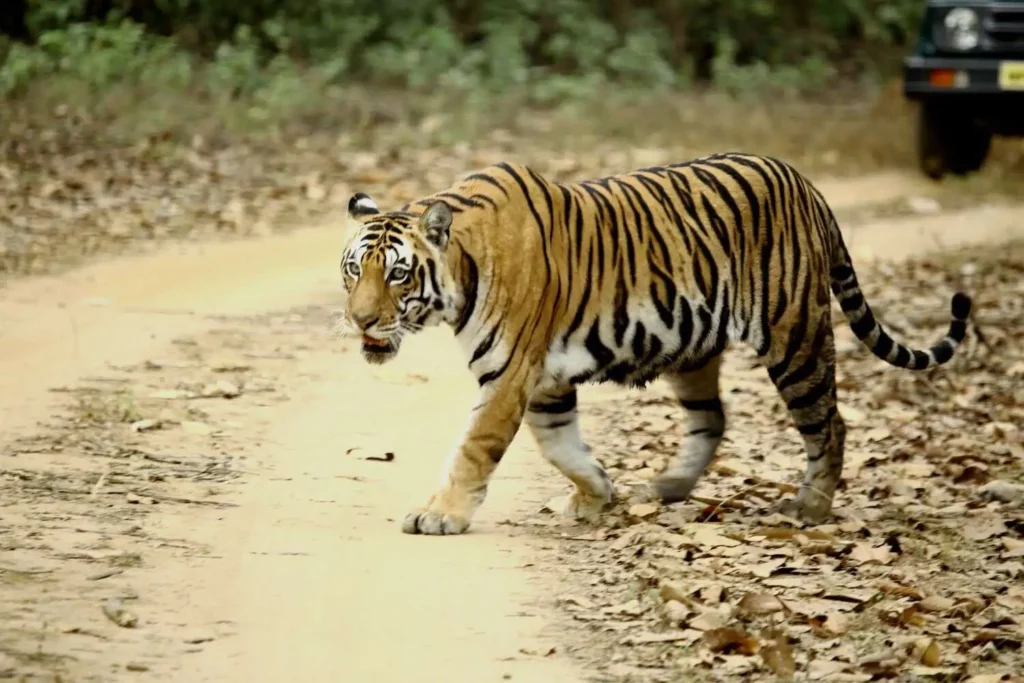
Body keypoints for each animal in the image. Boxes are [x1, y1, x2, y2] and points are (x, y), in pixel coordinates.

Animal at [336, 152, 972, 536]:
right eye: (352, 270)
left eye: (398, 275)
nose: (360, 320)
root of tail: (806, 183)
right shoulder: (544, 381)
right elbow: (562, 446)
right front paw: (597, 496)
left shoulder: (510, 374)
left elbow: (474, 448)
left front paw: (439, 515)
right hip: (694, 346)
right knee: (712, 418)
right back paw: (667, 486)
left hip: (796, 337)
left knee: (830, 423)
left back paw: (810, 507)